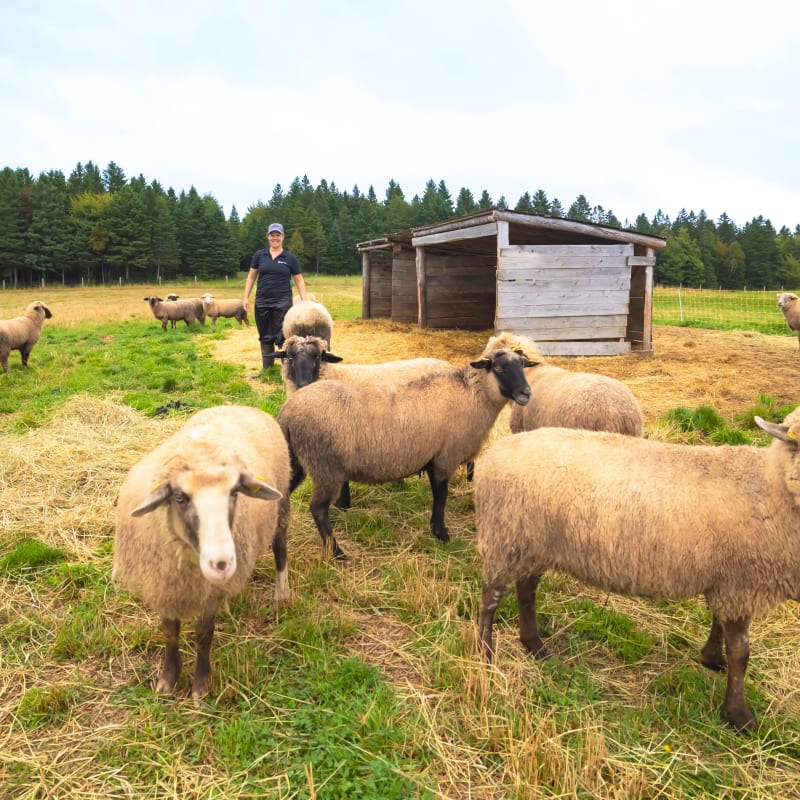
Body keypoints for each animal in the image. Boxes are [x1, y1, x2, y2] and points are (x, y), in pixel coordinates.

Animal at [113, 405, 291, 698]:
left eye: (234, 493)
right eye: (180, 498)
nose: (222, 563)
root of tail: (235, 405)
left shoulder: (208, 591)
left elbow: (204, 633)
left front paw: (200, 685)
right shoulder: (164, 585)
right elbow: (169, 631)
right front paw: (168, 678)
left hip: (282, 502)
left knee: (280, 548)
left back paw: (282, 594)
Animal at [278, 333, 538, 559]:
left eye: (523, 365)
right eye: (499, 368)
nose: (526, 393)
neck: (471, 394)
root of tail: (288, 411)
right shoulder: (444, 458)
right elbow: (441, 495)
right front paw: (440, 532)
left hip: (297, 460)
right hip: (325, 465)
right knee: (318, 509)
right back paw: (337, 553)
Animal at [474, 409, 800, 731]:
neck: (770, 486)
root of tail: (492, 455)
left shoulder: (728, 580)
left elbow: (720, 626)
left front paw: (712, 659)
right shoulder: (741, 583)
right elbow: (741, 653)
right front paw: (739, 716)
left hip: (533, 542)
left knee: (526, 590)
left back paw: (534, 644)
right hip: (507, 536)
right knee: (491, 597)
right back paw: (485, 653)